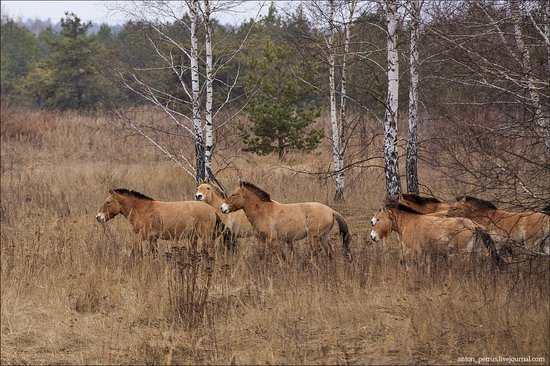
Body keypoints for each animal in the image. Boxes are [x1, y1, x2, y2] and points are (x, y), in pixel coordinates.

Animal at [96, 189, 227, 254]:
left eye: (108, 202)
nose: (98, 217)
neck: (143, 209)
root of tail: (213, 210)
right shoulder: (152, 239)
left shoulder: (143, 236)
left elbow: (135, 251)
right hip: (193, 237)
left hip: (205, 236)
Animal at [221, 180, 354, 260]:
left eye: (233, 194)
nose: (222, 208)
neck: (264, 212)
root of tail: (331, 211)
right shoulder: (260, 240)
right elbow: (261, 255)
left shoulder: (273, 240)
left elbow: (279, 256)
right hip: (323, 237)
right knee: (330, 252)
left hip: (314, 237)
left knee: (315, 253)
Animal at [370, 199, 504, 270]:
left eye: (377, 220)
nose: (372, 237)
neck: (411, 221)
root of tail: (475, 226)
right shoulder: (427, 253)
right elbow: (427, 267)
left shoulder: (413, 250)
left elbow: (404, 262)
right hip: (473, 253)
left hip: (464, 254)